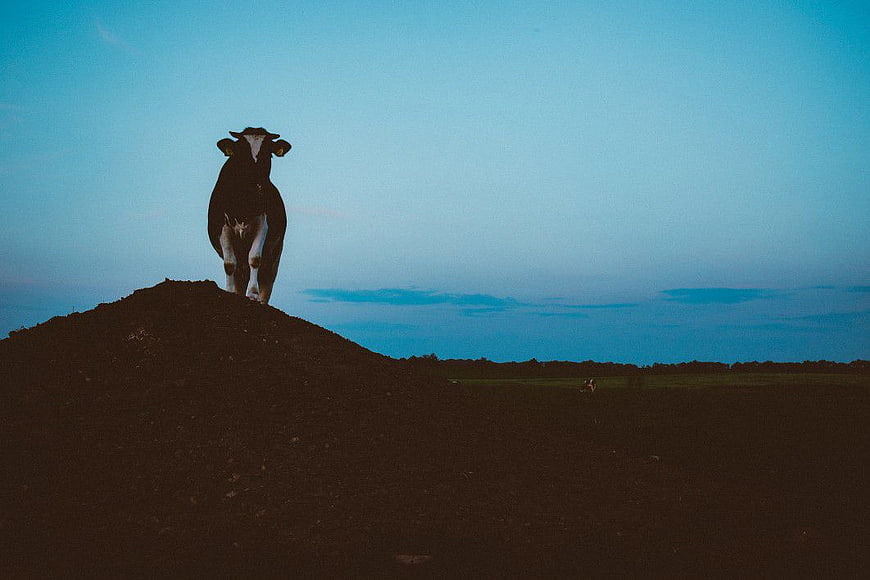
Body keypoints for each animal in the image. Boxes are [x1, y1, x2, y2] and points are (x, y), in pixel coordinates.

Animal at [207, 127, 291, 305]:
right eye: (241, 152)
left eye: (268, 153)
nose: (256, 180)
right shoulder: (223, 228)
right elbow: (229, 264)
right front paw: (229, 292)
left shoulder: (262, 224)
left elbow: (254, 258)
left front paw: (253, 294)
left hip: (274, 257)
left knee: (266, 280)